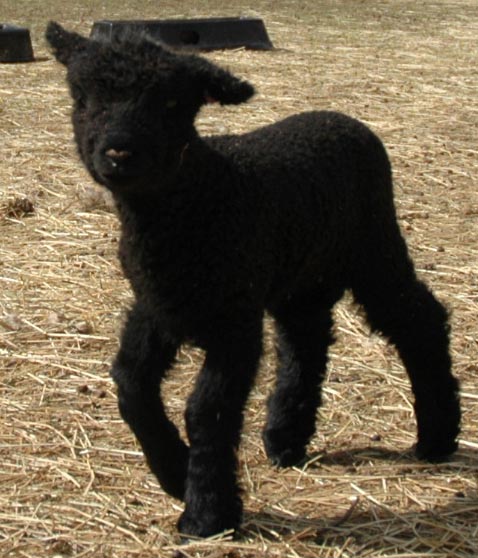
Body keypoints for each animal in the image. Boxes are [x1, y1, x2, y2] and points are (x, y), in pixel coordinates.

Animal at [46, 22, 460, 538]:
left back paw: (437, 437)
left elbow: (207, 410)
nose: (120, 153)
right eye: (82, 97)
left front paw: (206, 512)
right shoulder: (158, 306)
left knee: (419, 319)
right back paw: (285, 438)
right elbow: (130, 385)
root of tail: (347, 121)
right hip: (302, 276)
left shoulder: (235, 322)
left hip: (374, 246)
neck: (198, 199)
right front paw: (175, 473)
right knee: (306, 342)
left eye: (171, 103)